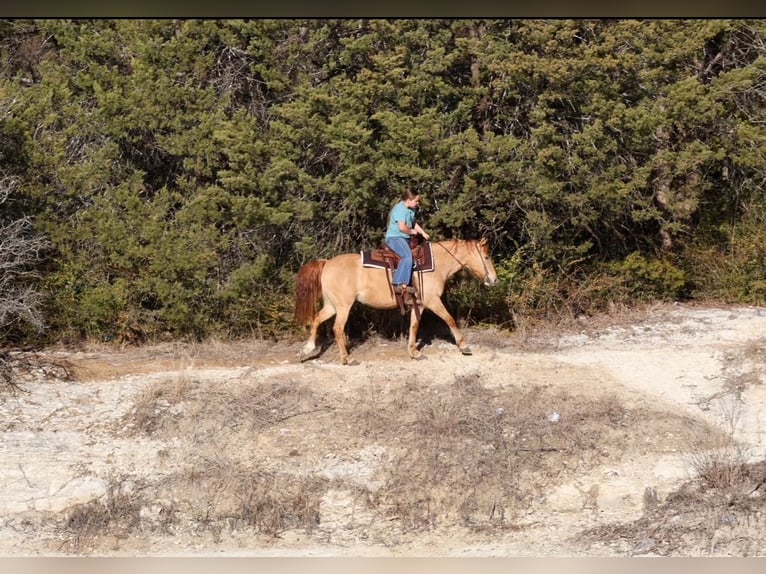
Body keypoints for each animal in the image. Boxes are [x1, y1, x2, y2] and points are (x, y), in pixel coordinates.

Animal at [294, 238, 499, 364]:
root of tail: (327, 263)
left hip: (332, 305)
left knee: (316, 319)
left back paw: (307, 349)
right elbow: (450, 319)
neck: (436, 265)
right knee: (337, 328)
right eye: (487, 257)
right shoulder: (432, 301)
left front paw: (414, 352)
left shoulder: (419, 305)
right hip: (343, 306)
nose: (494, 280)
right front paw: (464, 346)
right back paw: (347, 359)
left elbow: (414, 326)